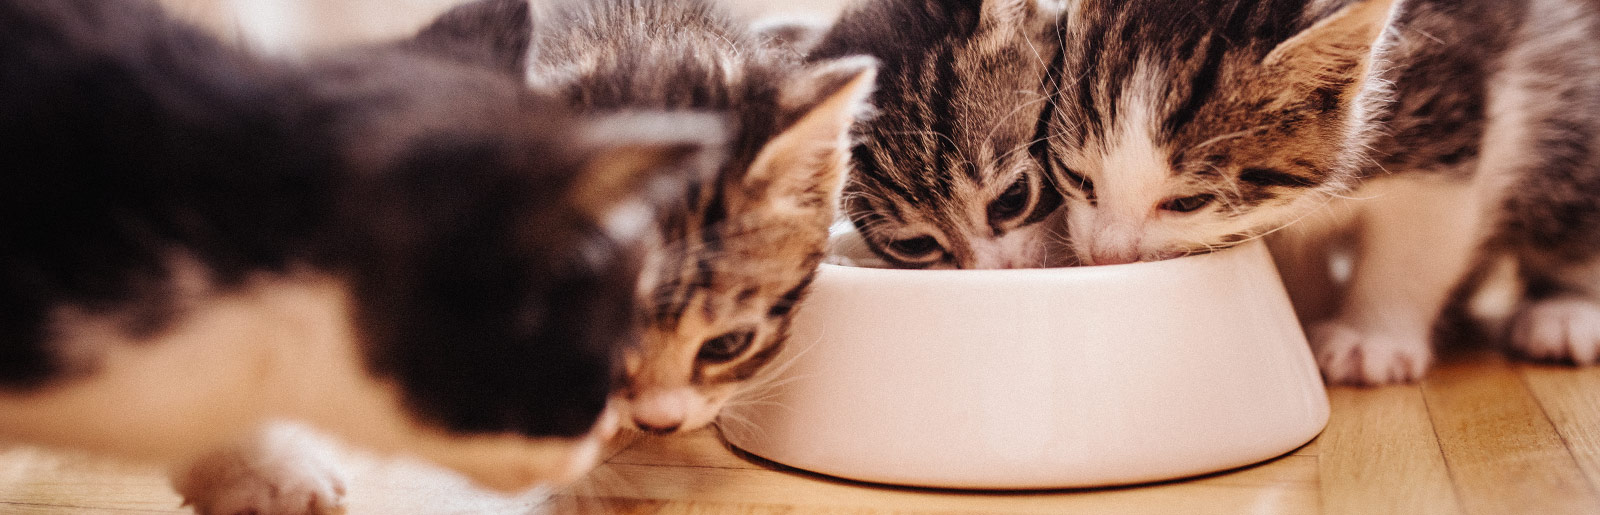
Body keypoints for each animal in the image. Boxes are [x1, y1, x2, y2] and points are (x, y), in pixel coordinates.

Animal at [1036, 0, 1600, 382]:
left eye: (1187, 204)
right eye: (1077, 178)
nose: (1106, 256)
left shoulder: (1446, 120)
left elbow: (1417, 244)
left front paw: (1372, 340)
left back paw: (1565, 313)